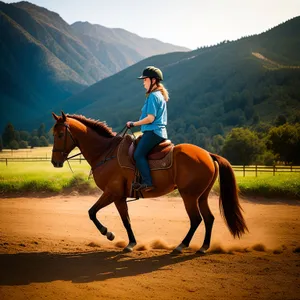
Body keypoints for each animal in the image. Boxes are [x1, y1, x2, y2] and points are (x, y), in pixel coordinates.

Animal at [51, 111, 248, 252]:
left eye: (60, 134)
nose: (54, 162)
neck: (106, 152)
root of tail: (208, 154)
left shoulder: (112, 193)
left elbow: (93, 213)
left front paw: (110, 234)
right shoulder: (119, 197)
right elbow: (126, 220)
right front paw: (130, 242)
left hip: (189, 196)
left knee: (196, 219)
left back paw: (181, 246)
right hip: (201, 196)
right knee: (208, 218)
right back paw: (203, 247)